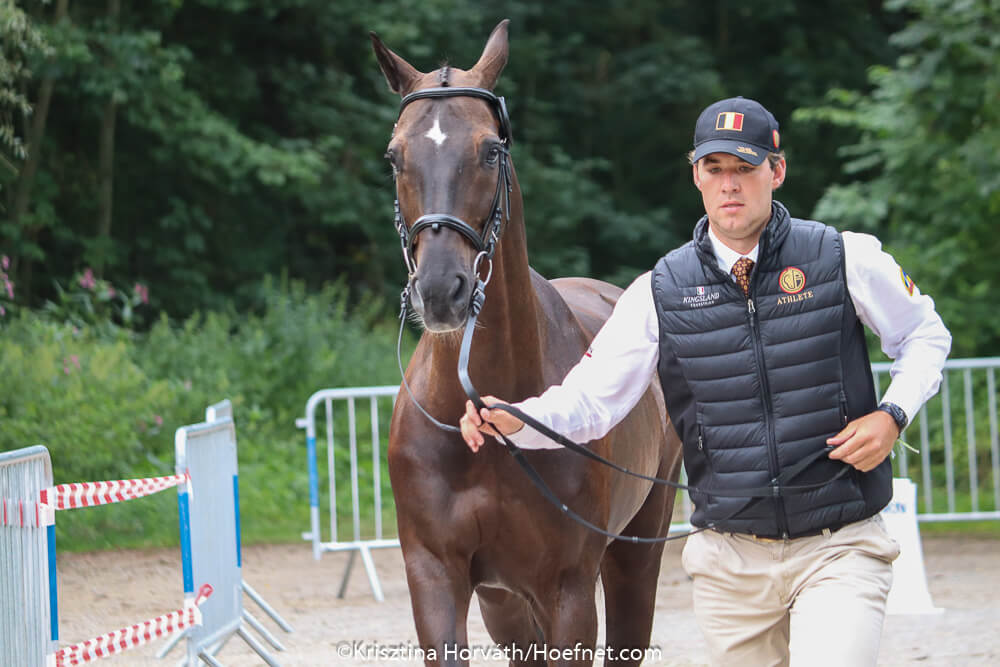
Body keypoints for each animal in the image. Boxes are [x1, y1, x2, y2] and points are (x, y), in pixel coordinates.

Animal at [372, 18, 684, 664]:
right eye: (394, 157)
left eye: (490, 150)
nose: (440, 289)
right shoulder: (436, 576)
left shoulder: (567, 589)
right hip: (505, 604)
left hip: (634, 557)